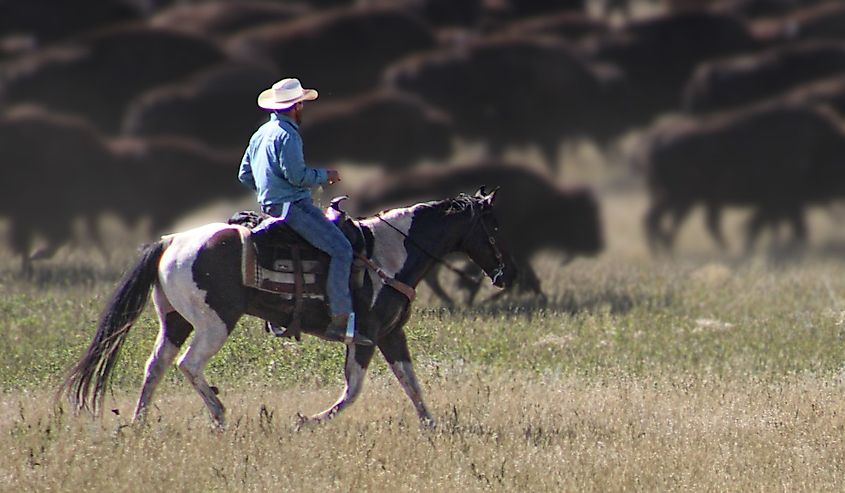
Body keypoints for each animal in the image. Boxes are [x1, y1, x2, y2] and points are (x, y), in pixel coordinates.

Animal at [57, 189, 517, 428]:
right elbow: (353, 390)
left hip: (175, 321)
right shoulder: (366, 335)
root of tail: (171, 240)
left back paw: (139, 421)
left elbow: (411, 382)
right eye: (494, 226)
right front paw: (308, 420)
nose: (505, 274)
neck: (390, 253)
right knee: (189, 365)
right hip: (214, 323)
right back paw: (220, 414)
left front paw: (432, 426)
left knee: (156, 365)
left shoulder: (391, 334)